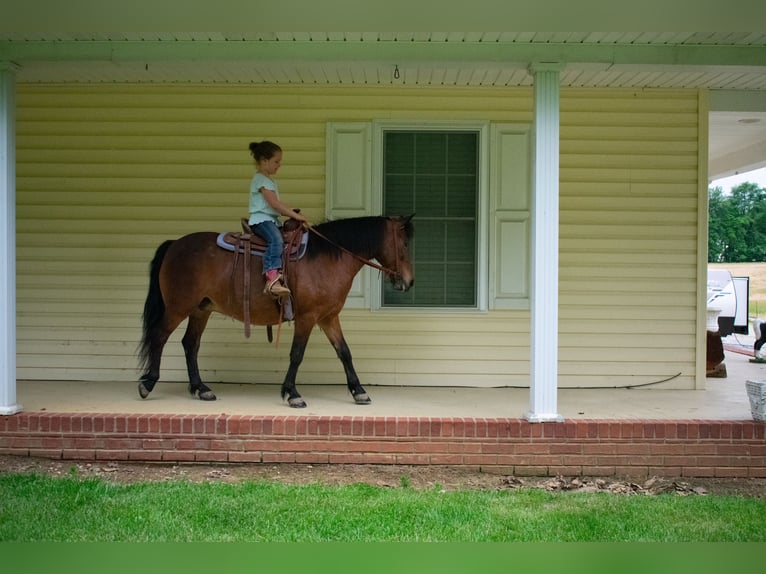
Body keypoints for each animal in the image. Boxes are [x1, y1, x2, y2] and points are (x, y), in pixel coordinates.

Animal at [138, 216, 414, 410]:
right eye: (404, 245)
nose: (409, 282)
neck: (328, 257)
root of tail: (174, 244)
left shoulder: (328, 317)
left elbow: (344, 352)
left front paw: (359, 391)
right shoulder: (307, 318)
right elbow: (297, 354)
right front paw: (292, 394)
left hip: (200, 309)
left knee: (190, 344)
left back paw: (200, 388)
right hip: (178, 307)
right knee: (159, 337)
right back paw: (148, 383)